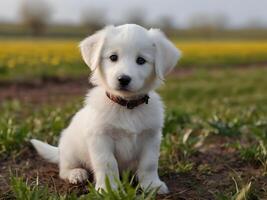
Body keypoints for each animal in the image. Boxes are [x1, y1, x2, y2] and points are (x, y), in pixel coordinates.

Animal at [31, 23, 182, 194]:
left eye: (141, 60)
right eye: (113, 57)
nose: (123, 79)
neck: (126, 106)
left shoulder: (151, 136)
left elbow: (149, 163)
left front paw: (152, 184)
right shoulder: (100, 137)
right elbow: (107, 163)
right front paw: (109, 188)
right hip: (70, 149)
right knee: (64, 169)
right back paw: (76, 173)